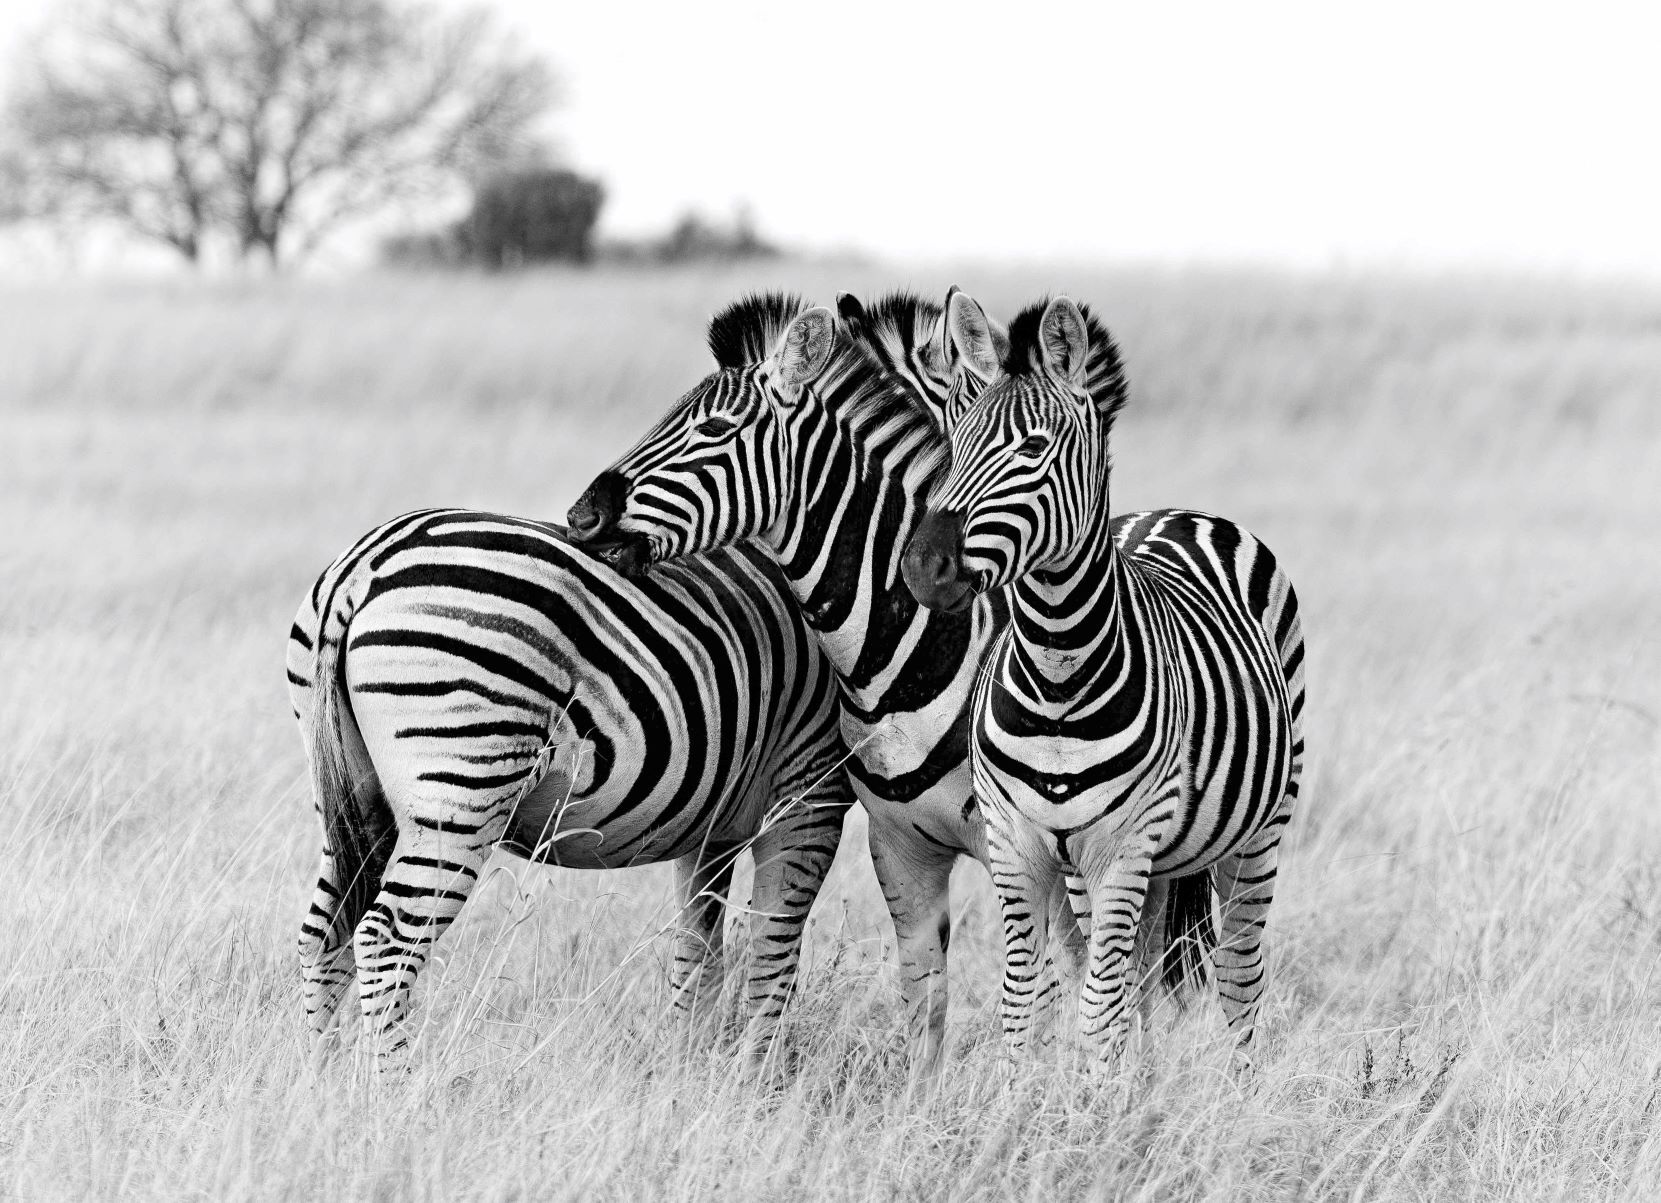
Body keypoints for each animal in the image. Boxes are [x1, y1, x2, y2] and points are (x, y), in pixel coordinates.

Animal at [287, 507, 851, 1059]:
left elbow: (699, 952)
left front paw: (689, 1064)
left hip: (357, 801)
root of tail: (362, 566)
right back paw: (395, 1084)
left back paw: (324, 1078)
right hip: (461, 791)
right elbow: (772, 954)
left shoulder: (714, 819)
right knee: (383, 942)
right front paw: (758, 1072)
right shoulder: (811, 786)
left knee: (323, 935)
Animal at [901, 293, 1307, 1065]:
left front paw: (1092, 1096)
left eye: (1032, 449)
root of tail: (1179, 511)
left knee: (1239, 975)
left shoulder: (1119, 845)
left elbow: (1096, 1009)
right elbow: (1026, 1003)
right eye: (952, 443)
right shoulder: (1017, 842)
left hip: (1259, 829)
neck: (1057, 674)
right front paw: (1031, 1099)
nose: (922, 568)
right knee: (1142, 975)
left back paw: (1238, 1085)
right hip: (1152, 861)